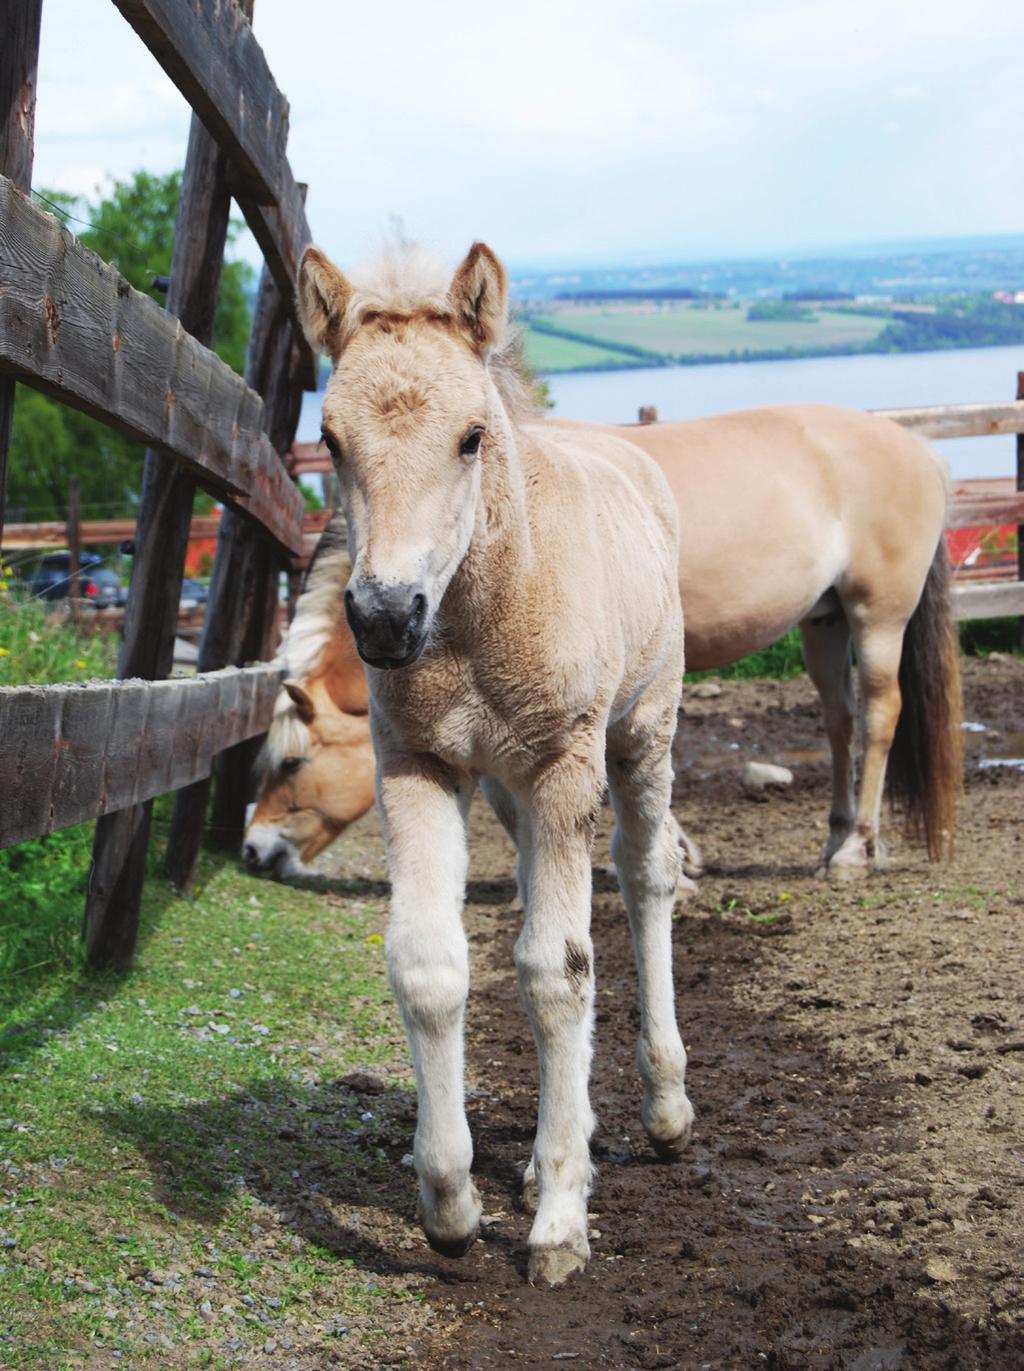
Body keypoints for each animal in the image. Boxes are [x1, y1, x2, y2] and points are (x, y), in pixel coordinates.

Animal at [296, 241, 696, 1277]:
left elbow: (558, 971)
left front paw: (558, 1222)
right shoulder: (419, 766)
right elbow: (431, 965)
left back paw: (666, 1106)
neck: (476, 620)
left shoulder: (564, 764)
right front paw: (451, 1201)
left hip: (640, 736)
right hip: (515, 790)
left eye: (472, 436)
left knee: (646, 877)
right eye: (331, 439)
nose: (384, 617)